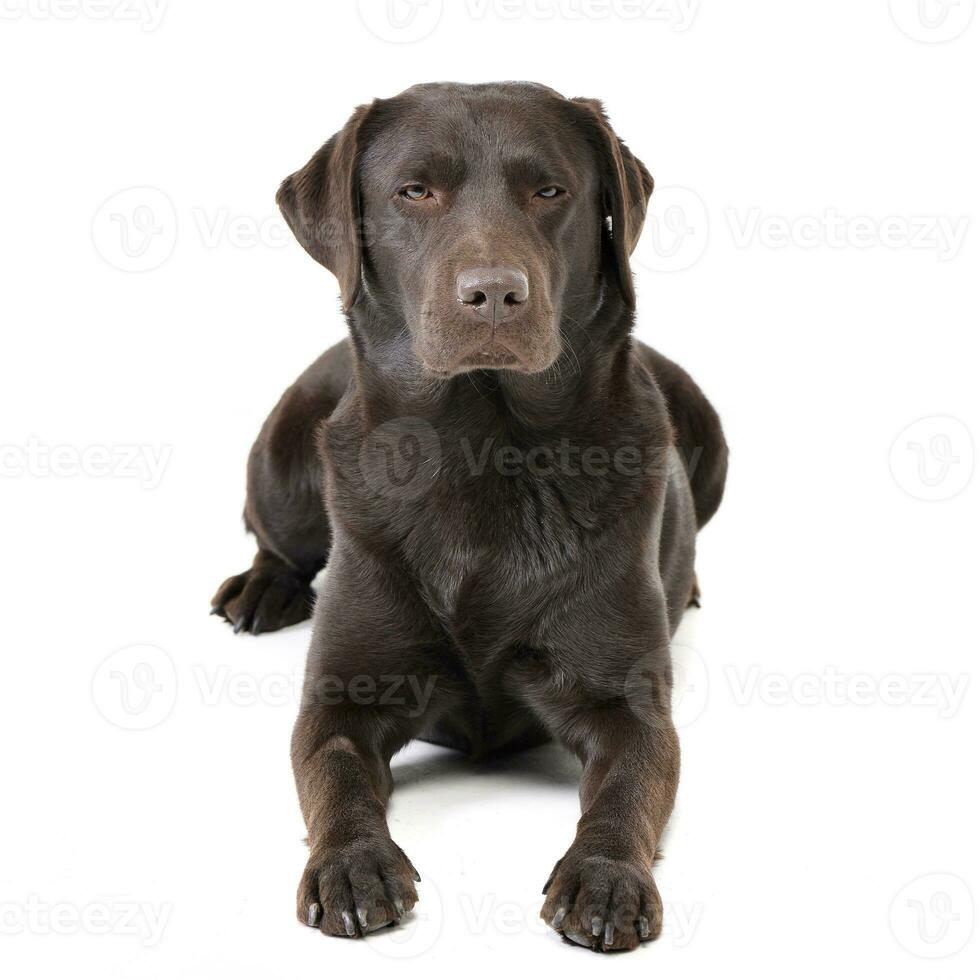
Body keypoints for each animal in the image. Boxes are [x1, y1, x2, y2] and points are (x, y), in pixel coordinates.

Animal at [211, 80, 724, 952]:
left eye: (550, 191)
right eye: (414, 191)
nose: (493, 294)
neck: (483, 447)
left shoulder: (627, 703)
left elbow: (626, 788)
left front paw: (605, 878)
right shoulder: (342, 695)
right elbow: (334, 772)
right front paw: (352, 865)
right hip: (285, 446)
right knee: (274, 535)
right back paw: (262, 590)